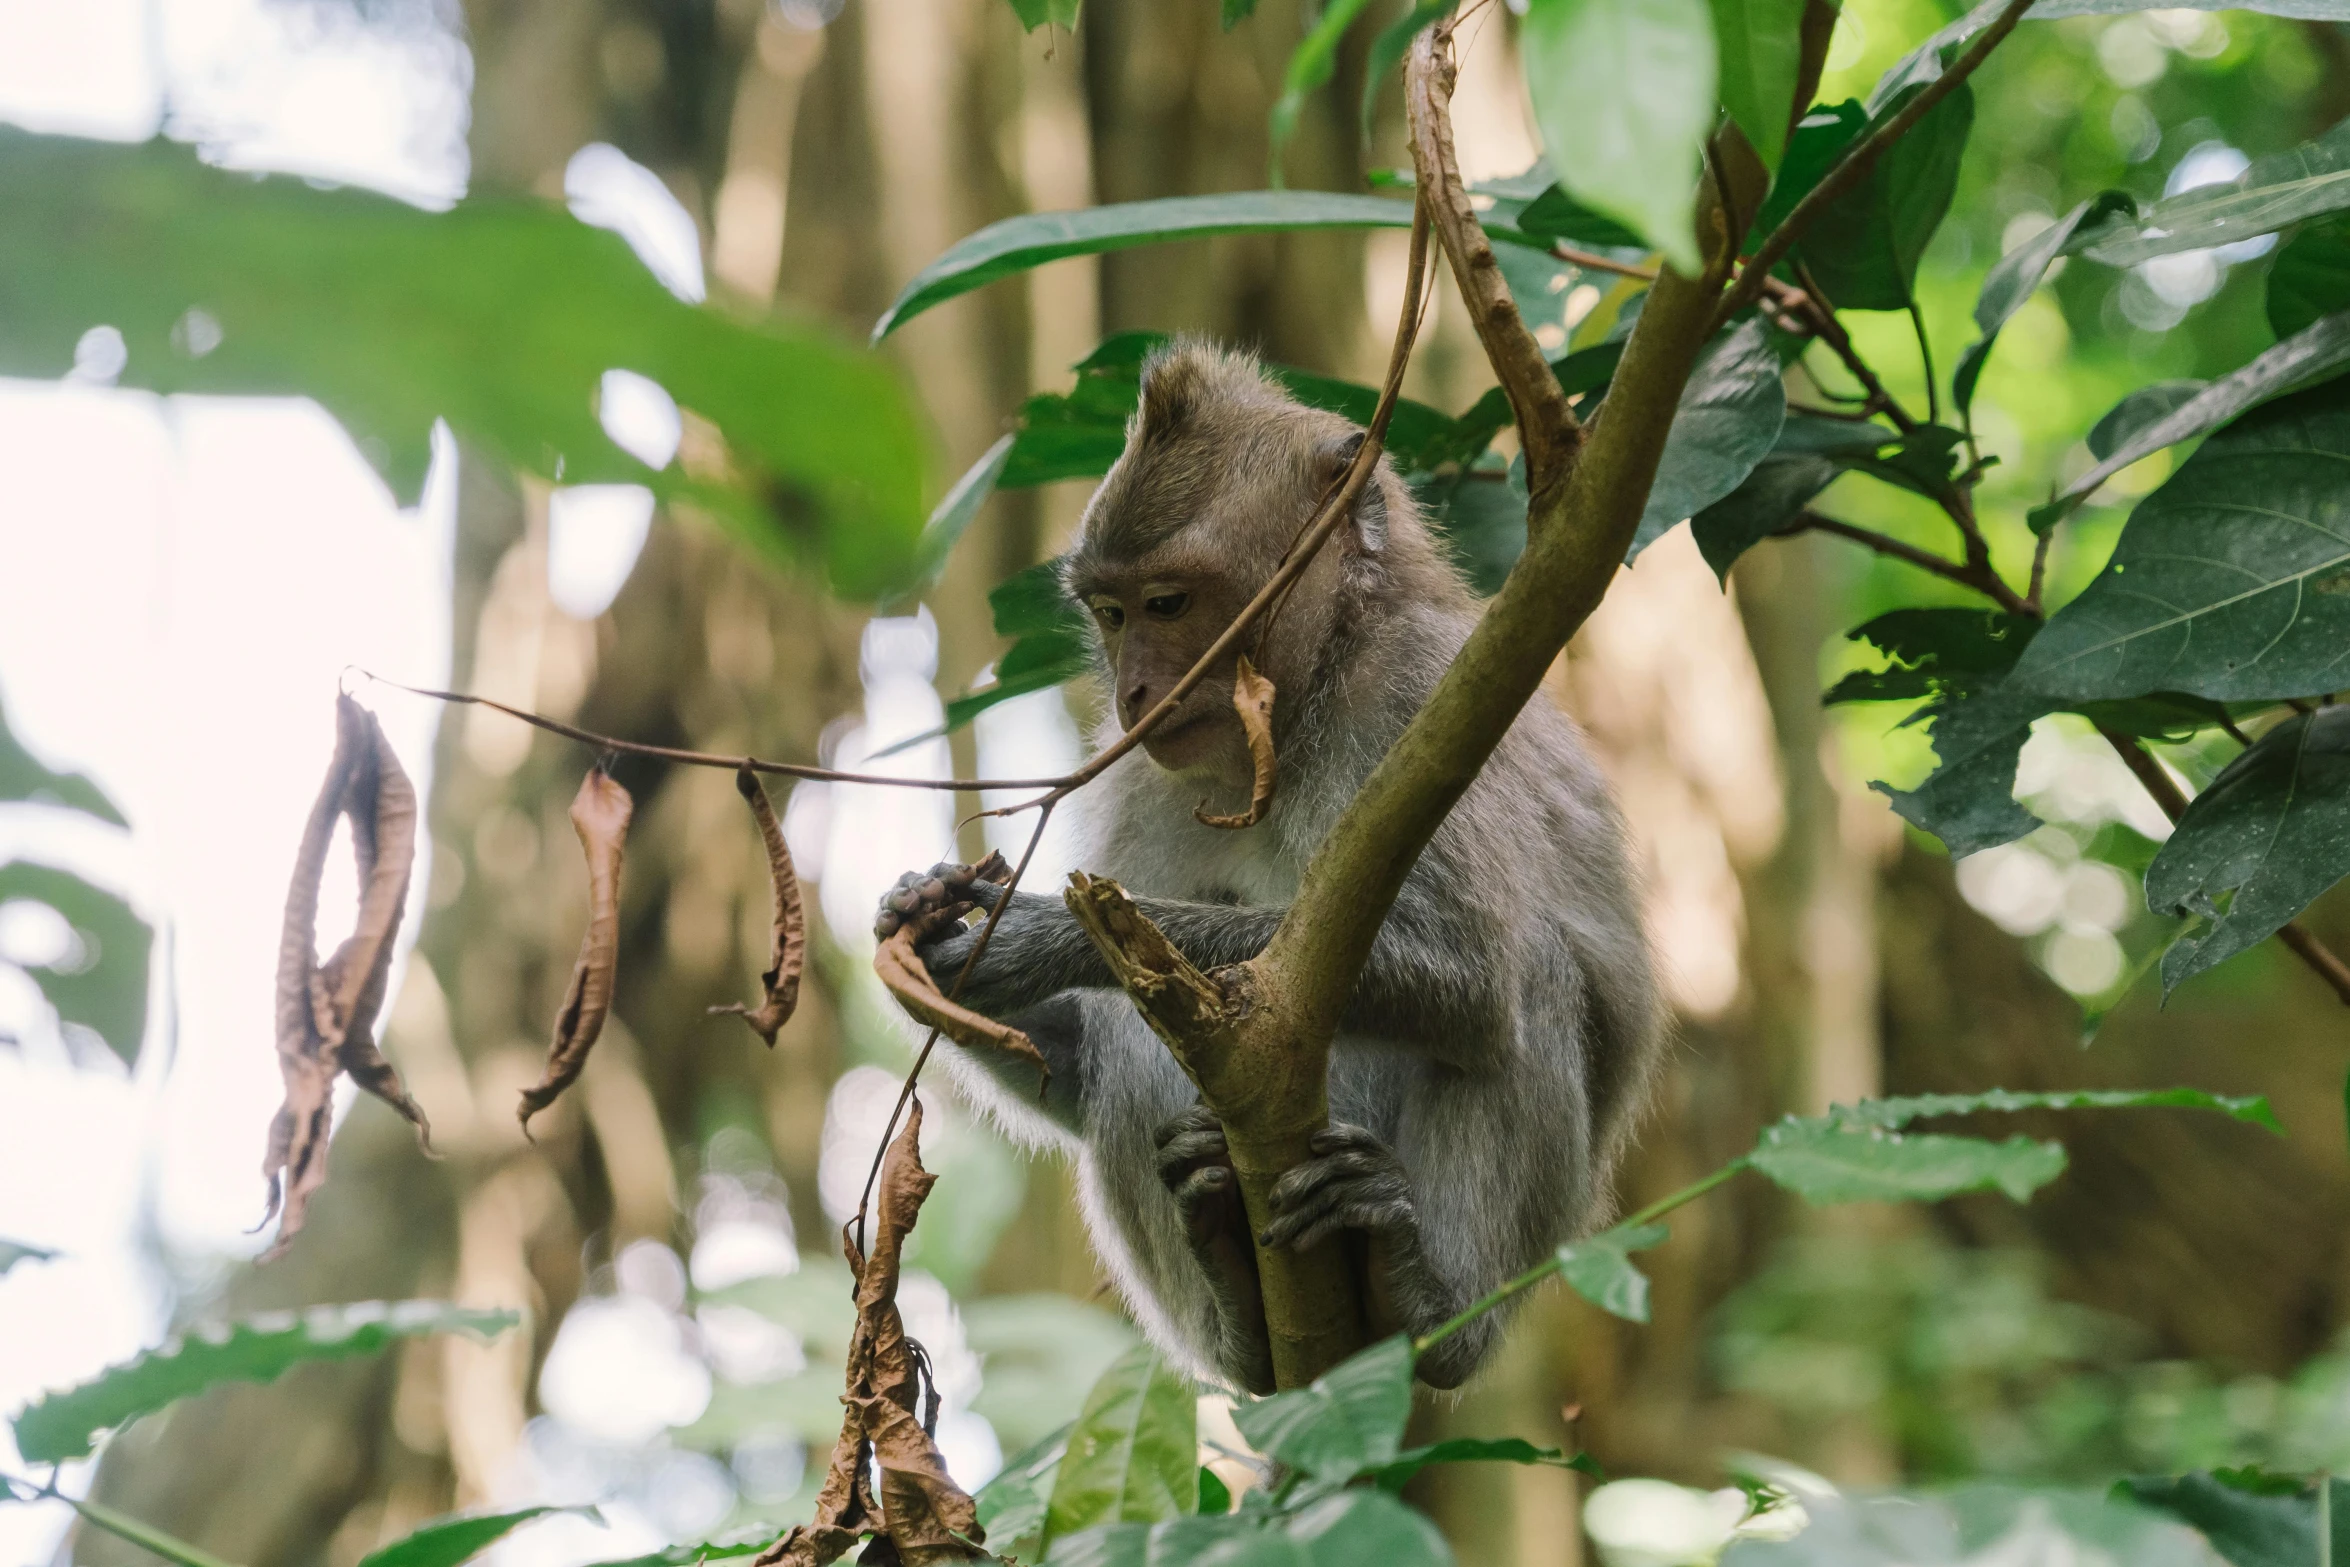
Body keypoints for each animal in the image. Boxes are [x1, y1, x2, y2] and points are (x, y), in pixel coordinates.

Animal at [874, 343, 1663, 1400]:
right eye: (1112, 613)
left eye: (1169, 603)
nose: (1136, 689)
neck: (1304, 701)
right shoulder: (1139, 772)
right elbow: (1073, 1069)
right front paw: (924, 923)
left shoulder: (1423, 698)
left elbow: (1469, 976)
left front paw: (1035, 936)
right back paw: (1233, 1299)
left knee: (1527, 979)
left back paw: (1424, 1301)